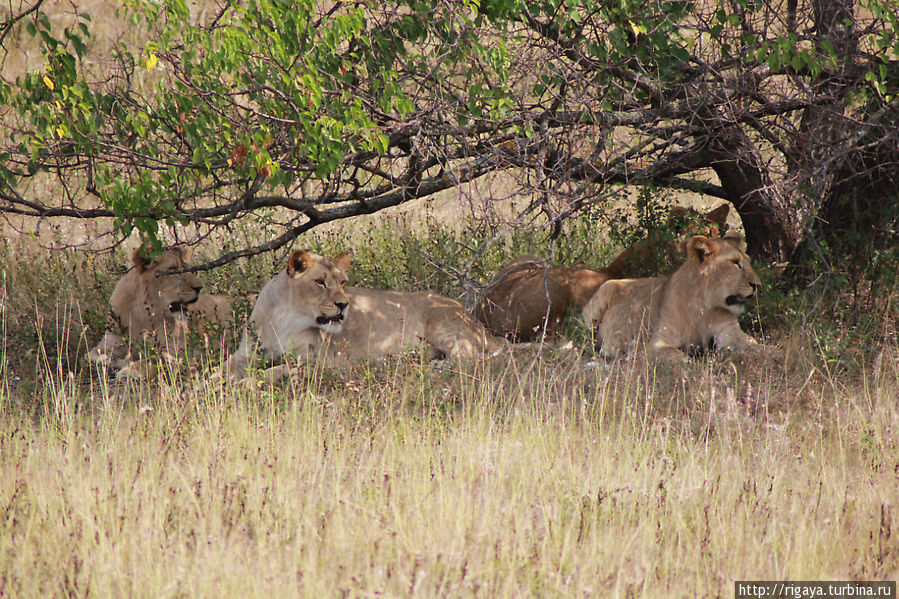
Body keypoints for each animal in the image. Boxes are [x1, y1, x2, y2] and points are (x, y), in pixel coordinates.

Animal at [91, 247, 236, 380]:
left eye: (189, 269)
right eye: (172, 269)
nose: (199, 288)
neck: (143, 314)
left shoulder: (181, 352)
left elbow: (155, 360)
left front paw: (129, 370)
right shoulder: (108, 343)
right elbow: (94, 356)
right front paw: (111, 361)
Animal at [225, 250, 502, 380]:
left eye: (343, 282)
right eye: (320, 282)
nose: (344, 304)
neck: (284, 318)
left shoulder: (321, 361)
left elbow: (274, 371)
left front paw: (243, 384)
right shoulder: (245, 354)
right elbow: (224, 366)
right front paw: (215, 381)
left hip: (443, 324)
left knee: (471, 356)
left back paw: (433, 365)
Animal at [580, 231, 764, 360]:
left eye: (748, 262)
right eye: (735, 263)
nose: (757, 285)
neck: (704, 306)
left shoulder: (728, 331)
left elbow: (753, 343)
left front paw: (763, 354)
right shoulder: (656, 342)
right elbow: (676, 355)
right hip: (602, 295)